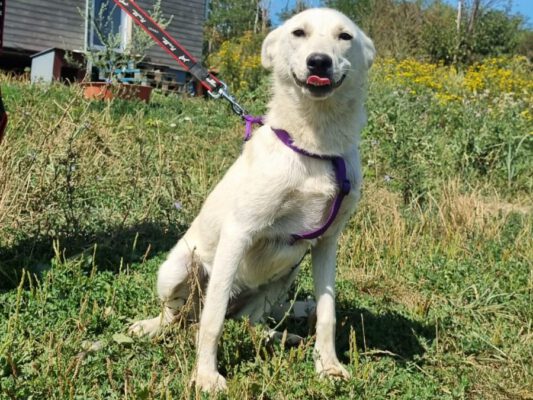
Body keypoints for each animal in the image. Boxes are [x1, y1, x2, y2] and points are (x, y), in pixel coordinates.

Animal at [129, 8, 375, 392]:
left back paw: (281, 337)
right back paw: (151, 327)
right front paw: (205, 375)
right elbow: (212, 321)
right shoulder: (238, 233)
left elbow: (327, 313)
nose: (319, 62)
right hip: (177, 269)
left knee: (250, 322)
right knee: (182, 316)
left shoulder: (326, 244)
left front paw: (328, 366)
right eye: (299, 33)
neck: (316, 148)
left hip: (285, 275)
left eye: (344, 36)